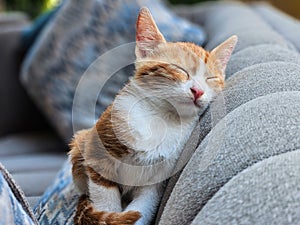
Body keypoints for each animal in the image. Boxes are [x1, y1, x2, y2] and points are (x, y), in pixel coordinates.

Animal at [69, 7, 238, 225]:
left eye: (211, 79)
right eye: (179, 69)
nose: (198, 91)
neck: (162, 118)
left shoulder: (158, 180)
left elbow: (143, 206)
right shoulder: (97, 149)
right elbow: (105, 196)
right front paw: (110, 211)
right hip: (80, 143)